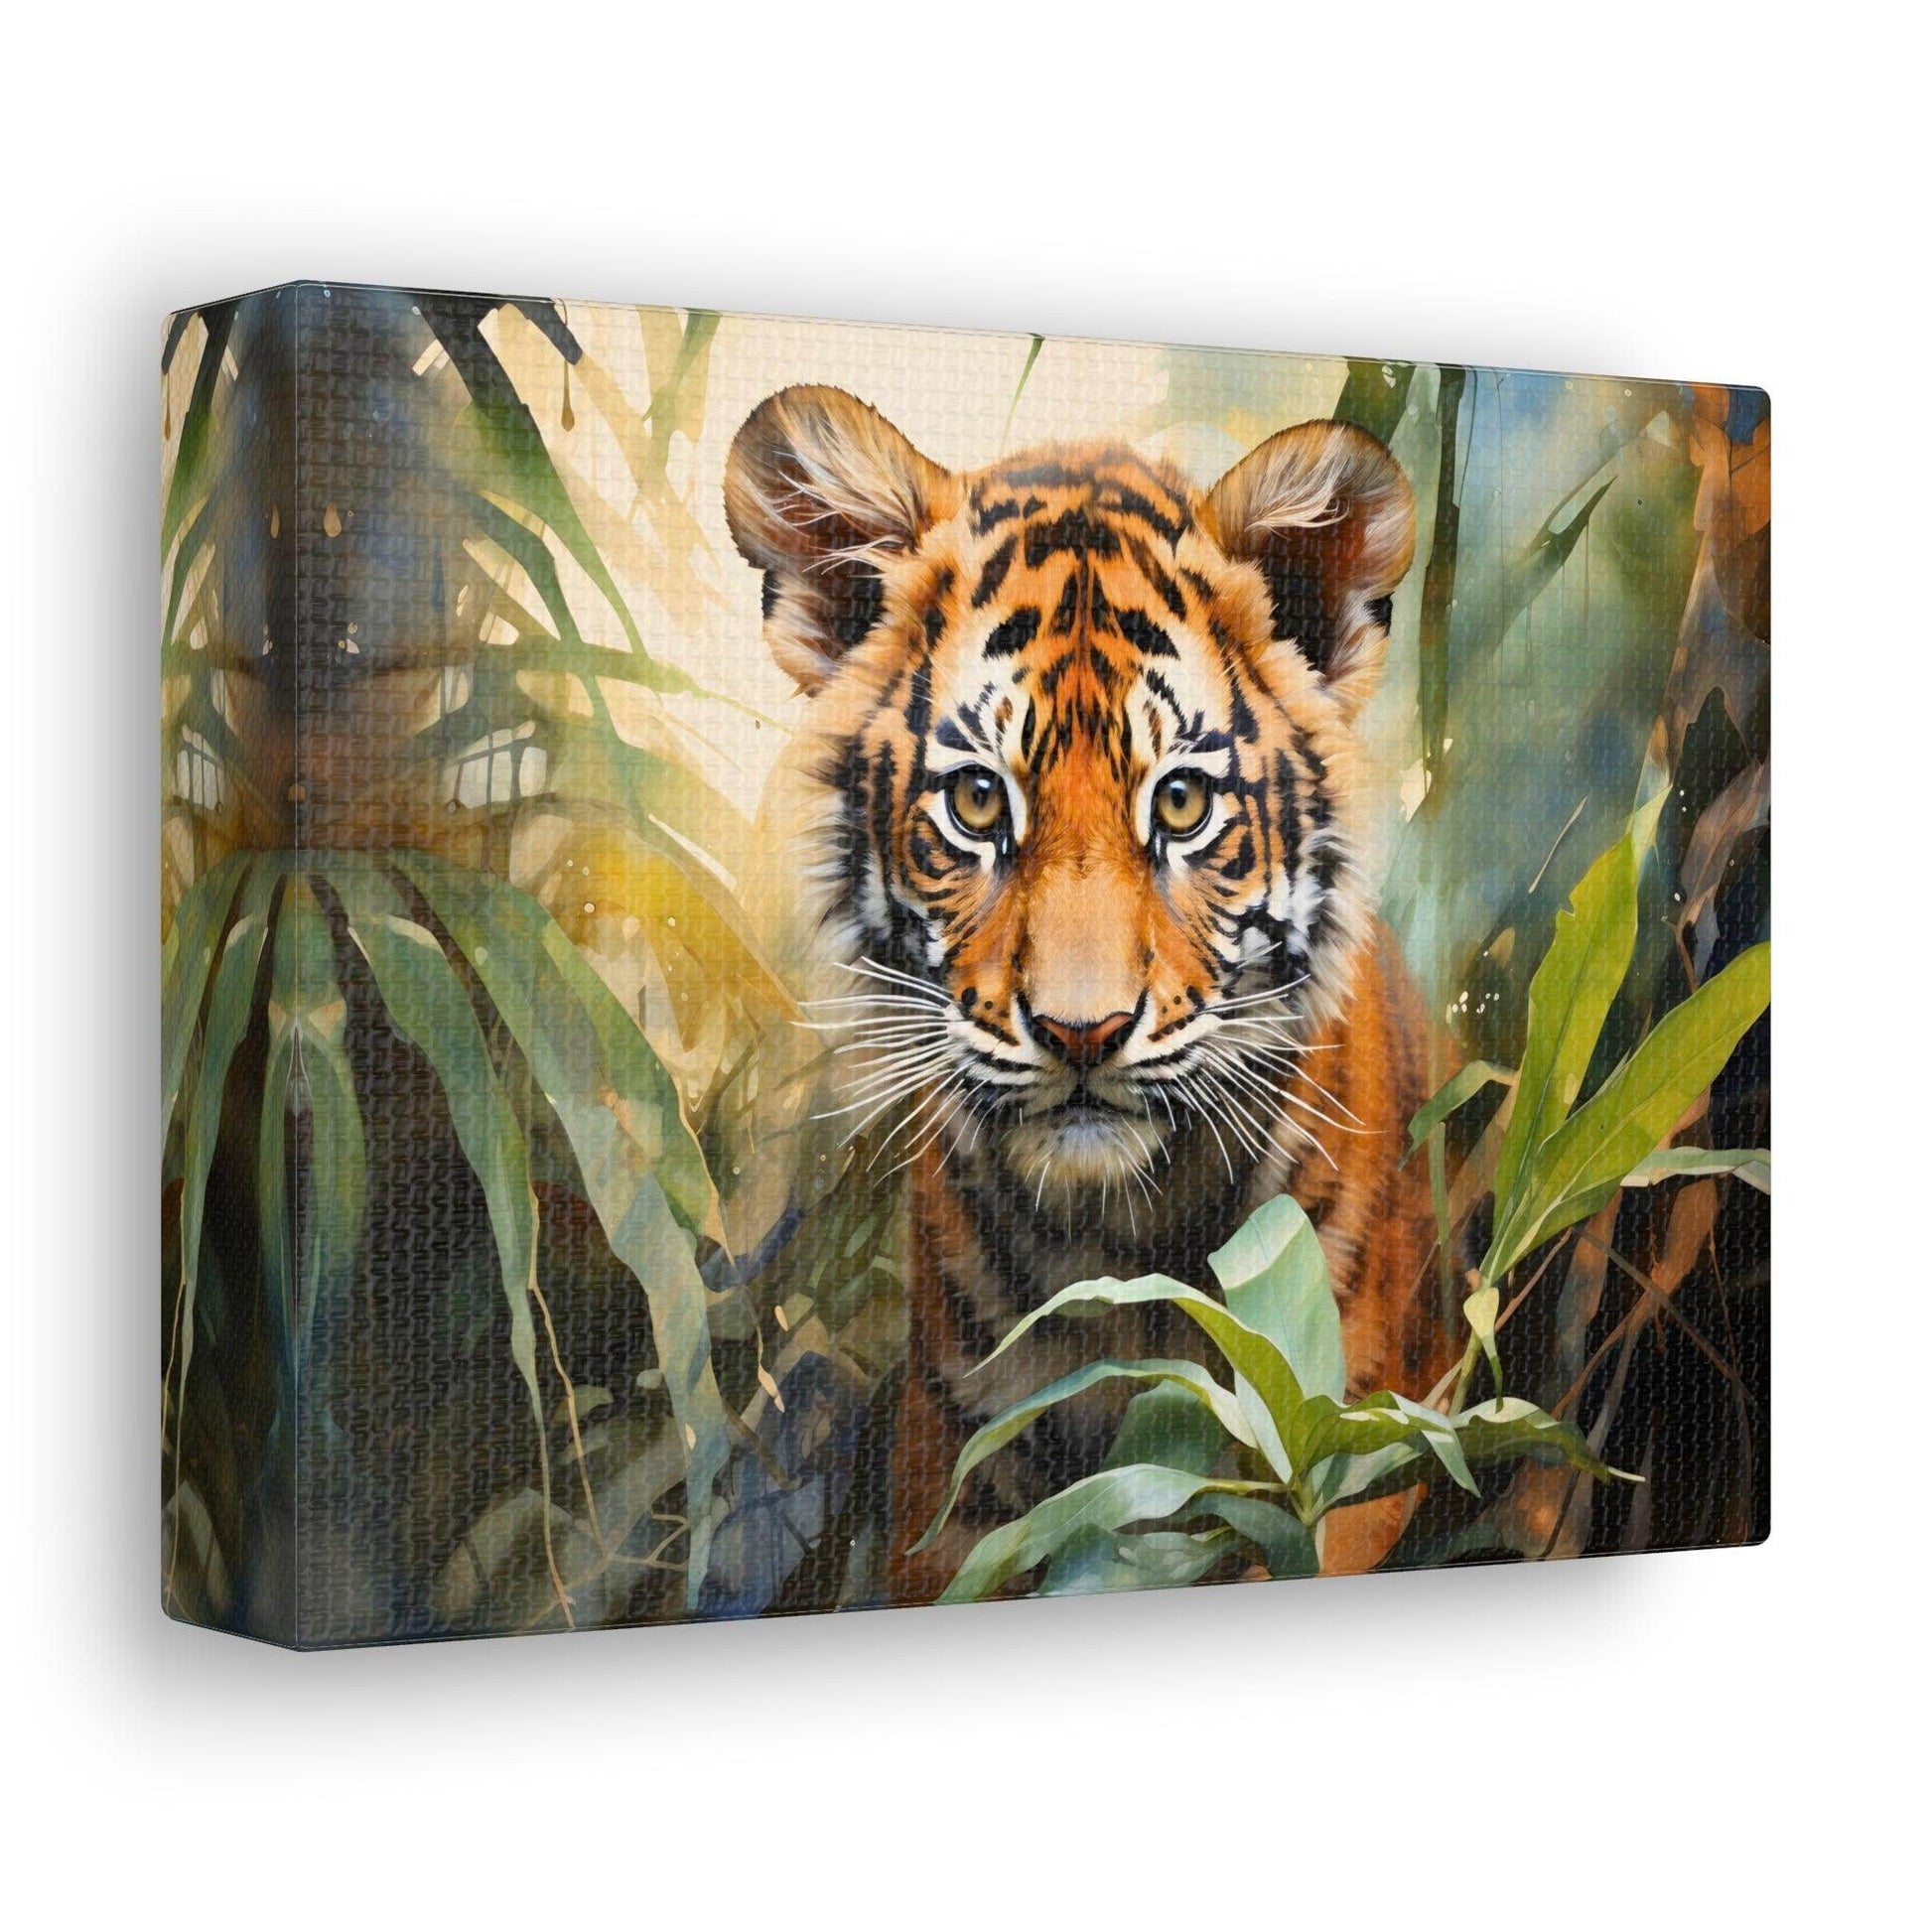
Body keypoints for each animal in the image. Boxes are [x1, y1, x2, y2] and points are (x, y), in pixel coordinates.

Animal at [725, 384, 1457, 1603]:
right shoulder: (953, 1488)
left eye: (1182, 803)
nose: (1082, 1032)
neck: (1111, 1248)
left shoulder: (1350, 1459)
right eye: (978, 801)